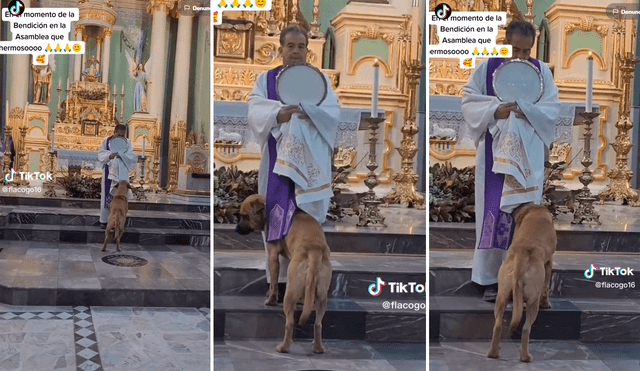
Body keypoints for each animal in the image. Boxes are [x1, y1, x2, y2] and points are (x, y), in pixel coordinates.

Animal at [236, 195, 336, 354]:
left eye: (245, 216)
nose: (236, 228)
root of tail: (314, 250)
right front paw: (302, 300)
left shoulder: (272, 257)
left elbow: (274, 284)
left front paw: (270, 301)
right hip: (322, 297)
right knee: (318, 324)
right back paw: (318, 348)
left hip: (290, 295)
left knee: (290, 322)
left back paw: (283, 347)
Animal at [490, 203, 556, 364]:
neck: (534, 211)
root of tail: (521, 257)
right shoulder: (549, 263)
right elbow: (546, 287)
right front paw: (547, 303)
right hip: (533, 302)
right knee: (526, 328)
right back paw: (526, 357)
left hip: (501, 296)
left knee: (498, 325)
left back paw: (493, 353)